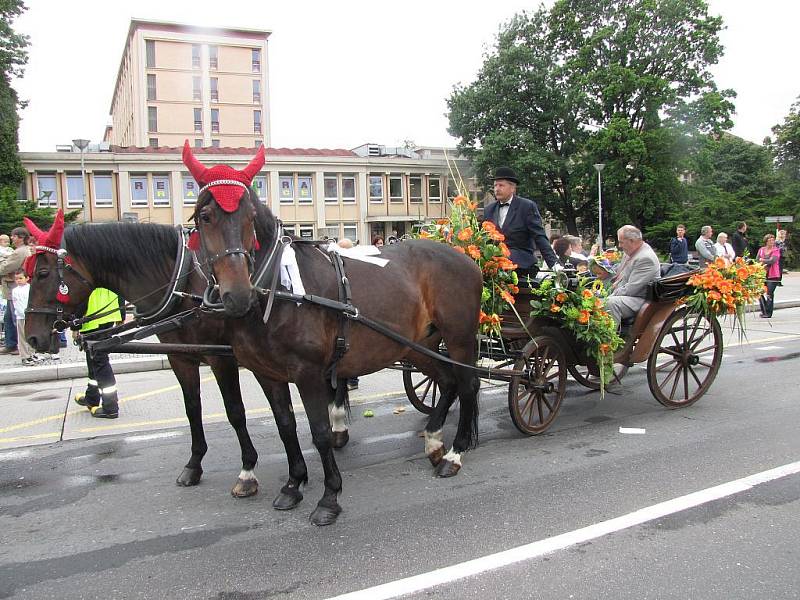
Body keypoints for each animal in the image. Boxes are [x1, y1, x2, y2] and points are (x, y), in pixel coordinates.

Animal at [22, 211, 316, 506]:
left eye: (42, 273)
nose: (33, 337)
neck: (183, 284)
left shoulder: (221, 359)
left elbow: (235, 411)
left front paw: (247, 471)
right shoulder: (180, 357)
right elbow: (192, 408)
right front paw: (194, 465)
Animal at [186, 144, 482, 524]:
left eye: (250, 216)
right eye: (205, 216)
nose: (237, 294)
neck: (276, 292)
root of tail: (464, 255)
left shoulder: (309, 373)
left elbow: (321, 432)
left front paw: (329, 497)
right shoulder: (268, 375)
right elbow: (286, 427)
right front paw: (293, 484)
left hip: (459, 338)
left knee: (467, 385)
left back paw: (455, 453)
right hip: (416, 345)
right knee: (446, 382)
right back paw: (433, 440)